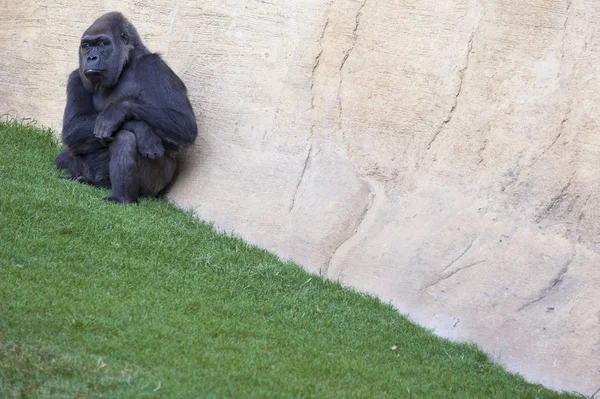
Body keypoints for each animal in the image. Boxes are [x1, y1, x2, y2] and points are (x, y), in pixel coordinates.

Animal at [55, 10, 198, 205]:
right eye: (86, 46)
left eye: (102, 44)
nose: (91, 58)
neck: (126, 64)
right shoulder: (76, 76)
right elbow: (73, 127)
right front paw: (141, 129)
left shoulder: (153, 65)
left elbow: (183, 122)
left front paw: (116, 112)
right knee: (63, 158)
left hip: (155, 186)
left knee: (124, 138)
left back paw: (122, 197)